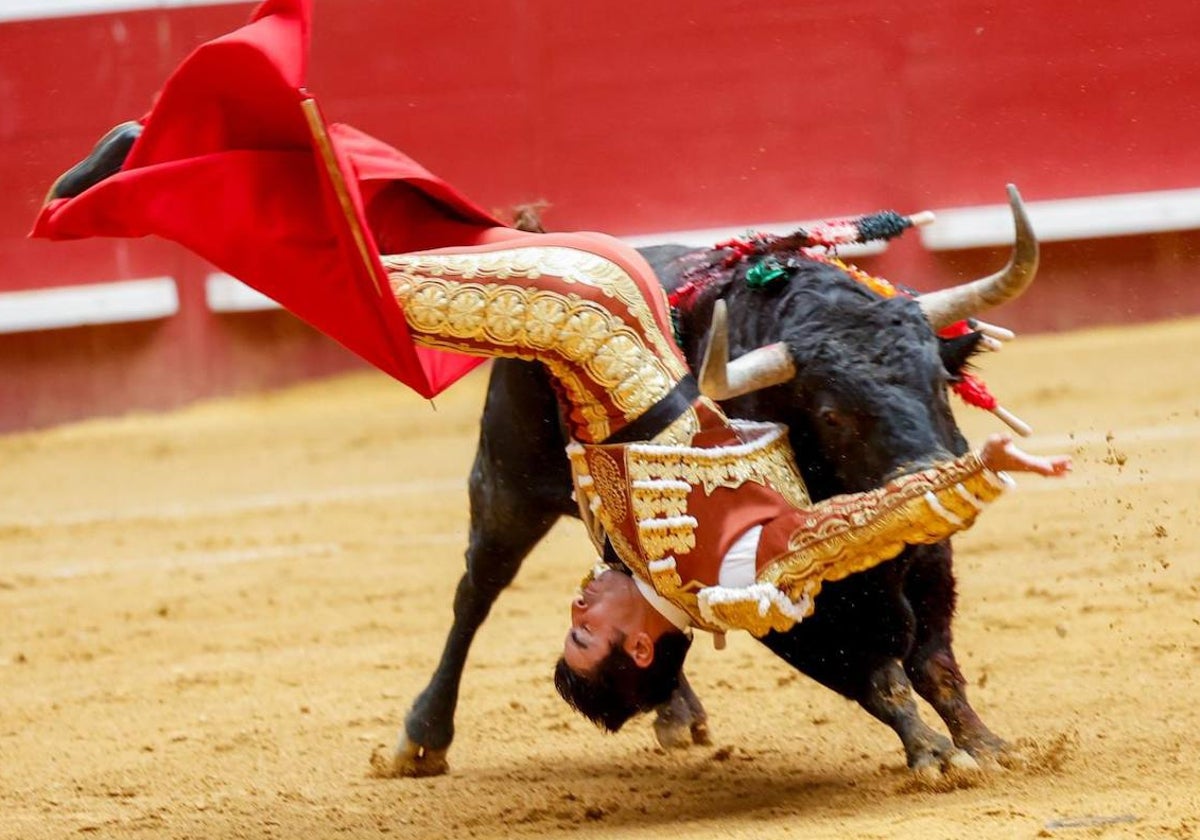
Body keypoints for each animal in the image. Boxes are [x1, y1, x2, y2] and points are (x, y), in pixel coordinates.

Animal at [386, 187, 1041, 777]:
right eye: (832, 413)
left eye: (938, 381)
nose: (928, 470)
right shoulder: (789, 600)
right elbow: (877, 672)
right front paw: (933, 753)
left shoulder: (928, 557)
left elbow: (934, 662)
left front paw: (983, 743)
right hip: (506, 482)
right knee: (477, 590)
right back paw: (422, 738)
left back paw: (677, 714)